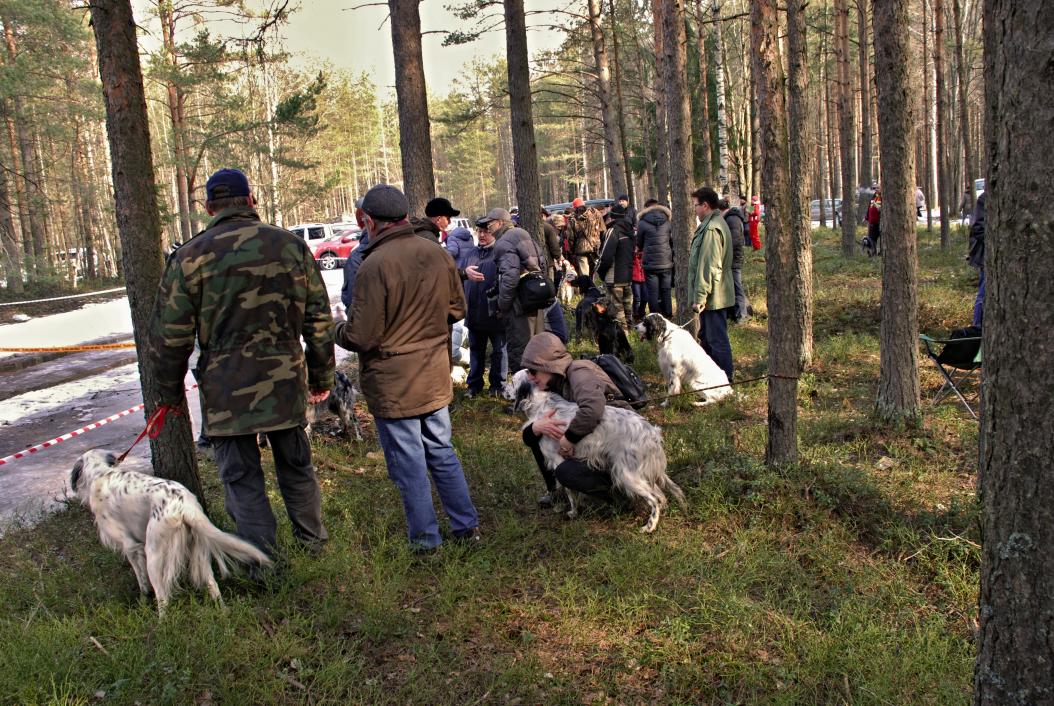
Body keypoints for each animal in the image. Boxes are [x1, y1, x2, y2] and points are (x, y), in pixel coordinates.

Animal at [70, 450, 271, 614]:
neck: (101, 474)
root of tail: (184, 504)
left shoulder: (130, 545)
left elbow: (140, 578)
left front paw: (143, 598)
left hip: (154, 553)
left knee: (163, 596)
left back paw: (161, 625)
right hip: (198, 547)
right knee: (212, 583)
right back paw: (222, 611)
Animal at [512, 370, 684, 533]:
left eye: (512, 381)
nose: (505, 389)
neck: (543, 405)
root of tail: (652, 433)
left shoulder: (557, 459)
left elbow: (569, 492)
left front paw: (573, 512)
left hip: (626, 474)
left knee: (654, 499)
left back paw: (649, 526)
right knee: (660, 495)